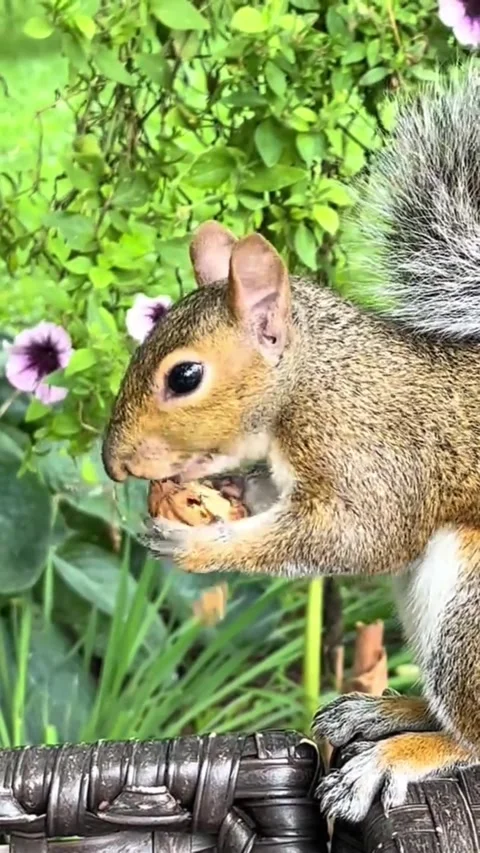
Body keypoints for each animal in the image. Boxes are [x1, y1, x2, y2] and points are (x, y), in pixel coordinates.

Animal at [102, 65, 480, 822]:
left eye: (184, 376)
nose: (113, 461)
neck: (311, 377)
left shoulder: (372, 451)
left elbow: (353, 537)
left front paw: (199, 546)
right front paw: (225, 495)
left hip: (471, 607)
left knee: (476, 738)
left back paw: (399, 755)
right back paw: (385, 709)